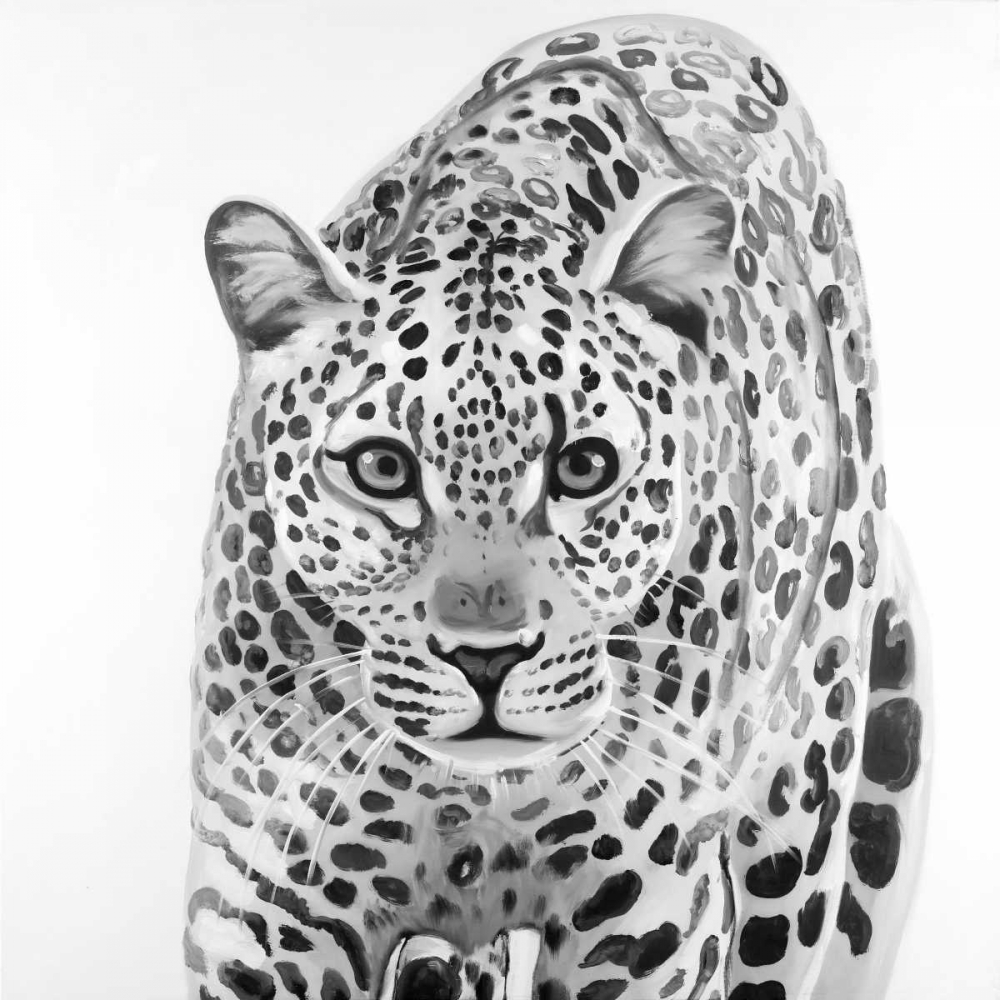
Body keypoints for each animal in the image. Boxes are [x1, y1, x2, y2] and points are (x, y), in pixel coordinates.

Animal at [185, 14, 930, 1000]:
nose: (486, 658)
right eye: (382, 468)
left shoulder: (651, 907)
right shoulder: (261, 894)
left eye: (583, 467)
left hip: (802, 805)